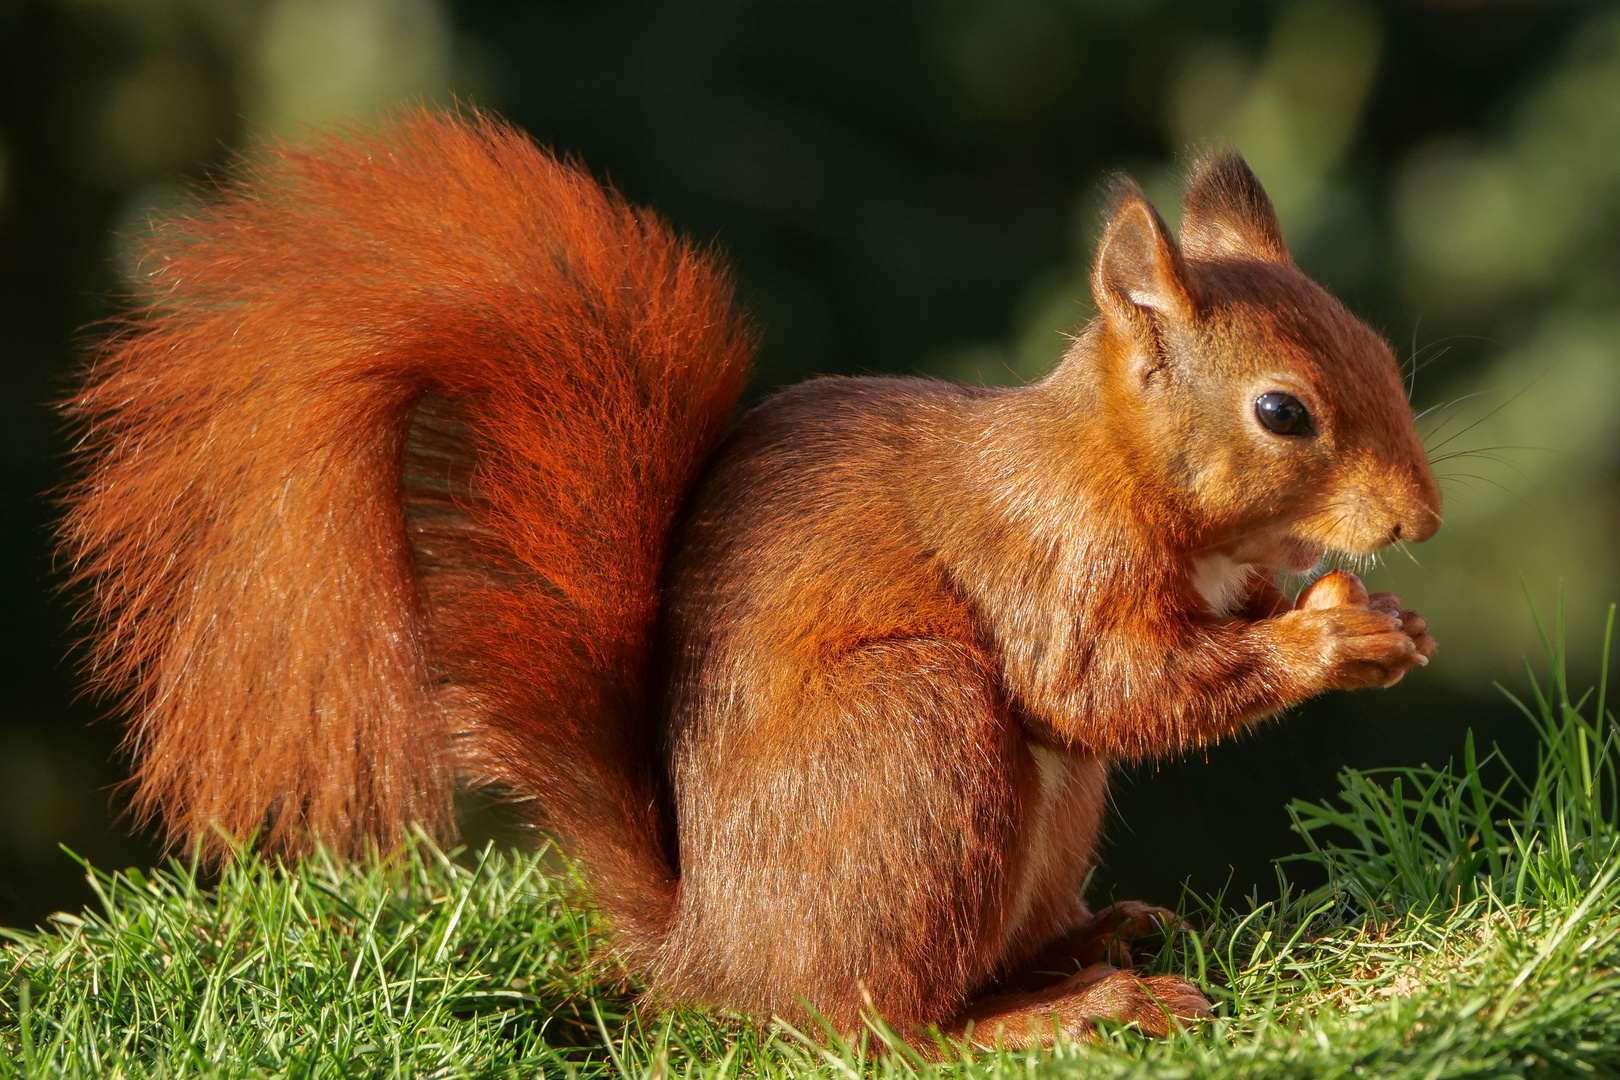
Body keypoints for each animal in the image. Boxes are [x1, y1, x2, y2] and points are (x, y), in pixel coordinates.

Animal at [57, 110, 1438, 1049]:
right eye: (1282, 412)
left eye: (1380, 347)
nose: (1418, 519)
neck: (1117, 463)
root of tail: (707, 956)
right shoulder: (1046, 553)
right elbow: (1104, 690)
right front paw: (1329, 643)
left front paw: (1371, 617)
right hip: (915, 743)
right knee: (873, 1027)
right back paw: (1062, 1015)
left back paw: (1090, 944)